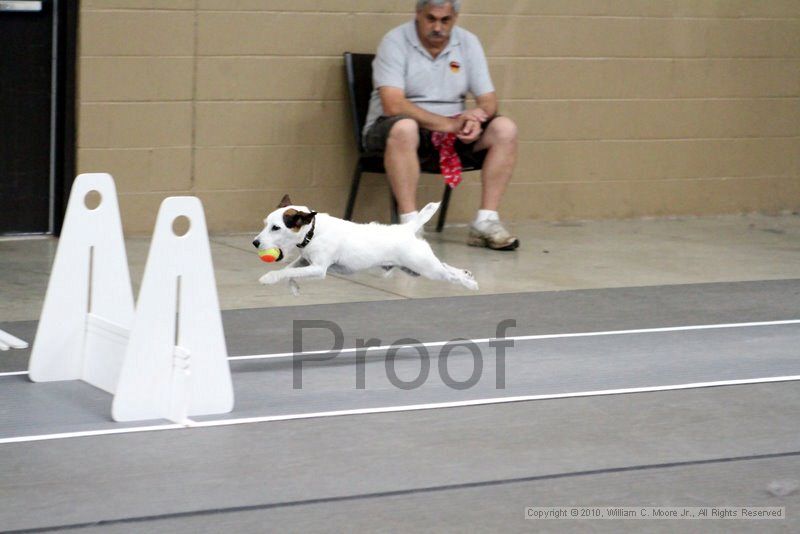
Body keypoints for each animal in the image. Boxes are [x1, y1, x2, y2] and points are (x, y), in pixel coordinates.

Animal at [253, 197, 478, 292]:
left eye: (276, 228)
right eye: (265, 223)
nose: (255, 242)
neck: (313, 232)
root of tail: (407, 229)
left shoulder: (318, 268)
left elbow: (288, 271)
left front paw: (268, 277)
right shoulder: (305, 262)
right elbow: (289, 271)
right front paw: (292, 286)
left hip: (427, 268)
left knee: (449, 275)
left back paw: (469, 283)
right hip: (417, 268)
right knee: (446, 266)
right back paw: (466, 274)